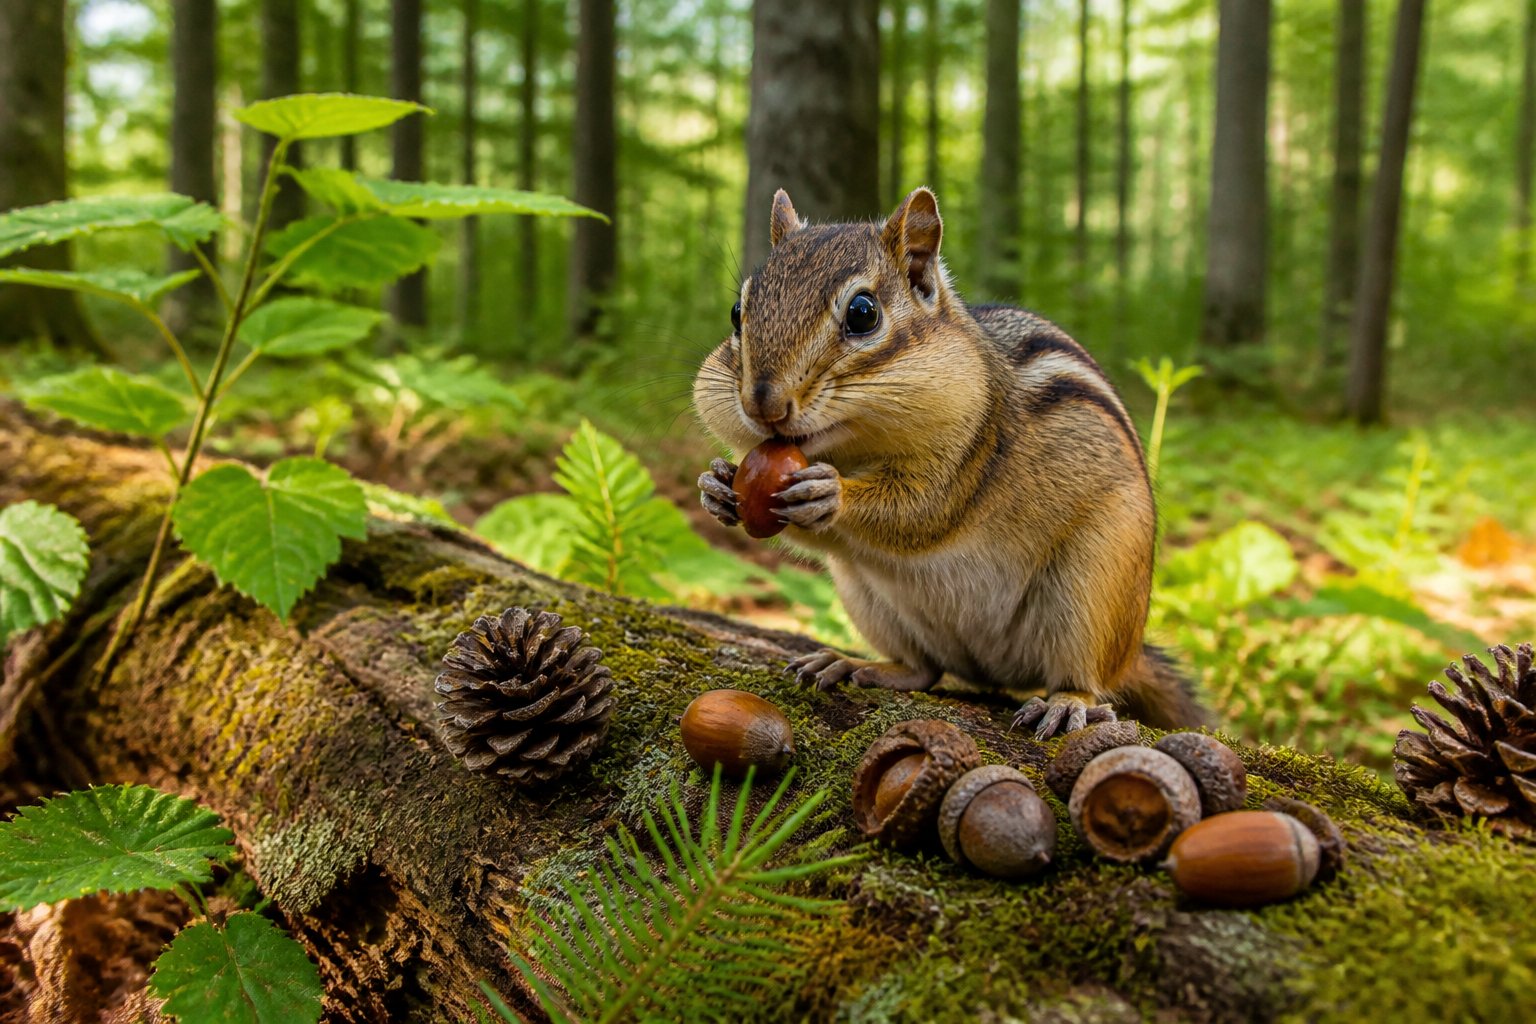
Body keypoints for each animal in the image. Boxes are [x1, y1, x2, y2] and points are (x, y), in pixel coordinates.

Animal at [692, 186, 1206, 739]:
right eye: (736, 312)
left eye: (863, 313)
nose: (762, 403)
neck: (850, 448)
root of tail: (990, 671)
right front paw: (716, 485)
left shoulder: (971, 454)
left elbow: (920, 512)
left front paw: (832, 494)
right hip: (866, 598)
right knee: (923, 670)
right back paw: (852, 663)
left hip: (1093, 591)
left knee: (1088, 679)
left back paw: (1067, 702)